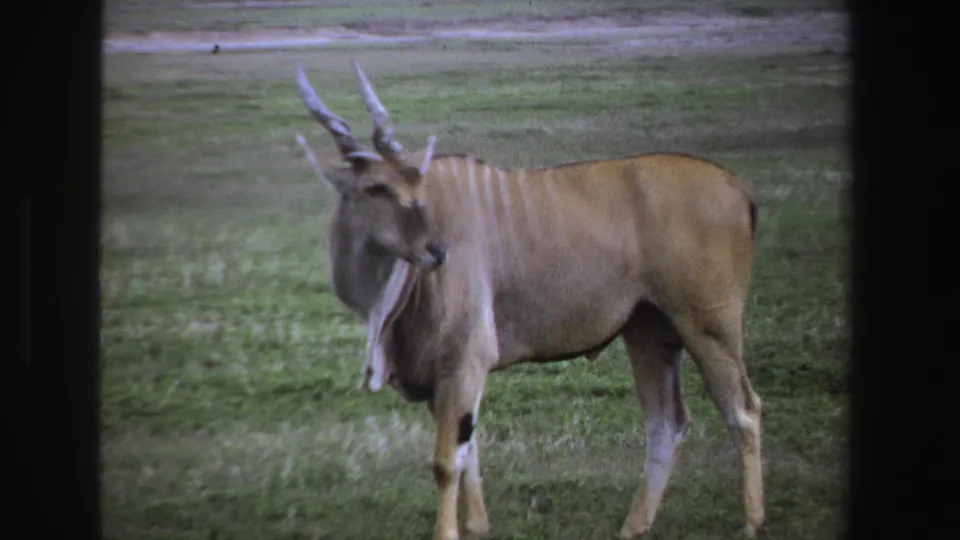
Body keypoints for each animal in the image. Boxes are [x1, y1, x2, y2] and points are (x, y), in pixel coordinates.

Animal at [294, 61, 764, 539]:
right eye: (376, 188)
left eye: (415, 183)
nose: (437, 251)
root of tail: (739, 189)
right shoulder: (445, 375)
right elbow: (468, 453)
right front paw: (479, 525)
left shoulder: (462, 361)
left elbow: (446, 463)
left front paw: (450, 531)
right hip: (650, 332)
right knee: (666, 423)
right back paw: (634, 526)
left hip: (707, 325)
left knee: (743, 411)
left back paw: (751, 523)